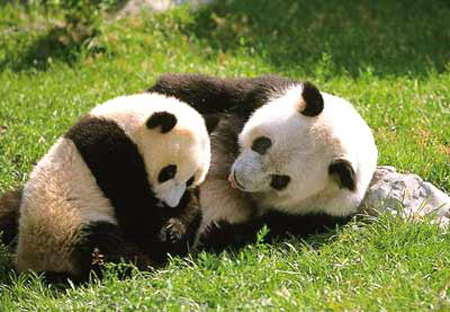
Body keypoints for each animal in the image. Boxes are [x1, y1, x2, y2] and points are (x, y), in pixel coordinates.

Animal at [13, 92, 211, 280]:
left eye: (190, 180)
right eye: (168, 172)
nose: (170, 204)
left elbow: (191, 205)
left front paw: (175, 229)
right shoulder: (111, 150)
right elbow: (135, 209)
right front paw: (161, 235)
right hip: (66, 226)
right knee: (104, 247)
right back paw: (143, 263)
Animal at [148, 74, 376, 250]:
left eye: (280, 180)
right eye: (263, 144)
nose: (238, 177)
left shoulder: (323, 213)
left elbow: (269, 228)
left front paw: (216, 232)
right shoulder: (264, 94)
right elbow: (201, 90)